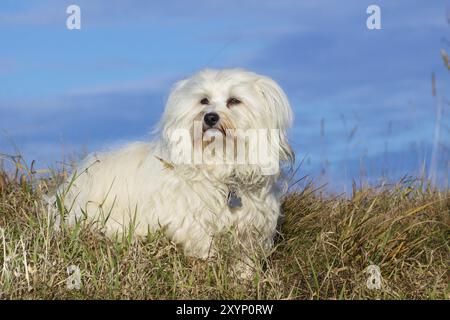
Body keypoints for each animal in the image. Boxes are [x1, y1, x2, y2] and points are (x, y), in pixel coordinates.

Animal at [58, 69, 294, 274]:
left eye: (234, 100)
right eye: (204, 100)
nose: (210, 117)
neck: (220, 166)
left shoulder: (248, 231)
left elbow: (244, 262)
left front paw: (243, 279)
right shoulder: (194, 227)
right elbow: (205, 251)